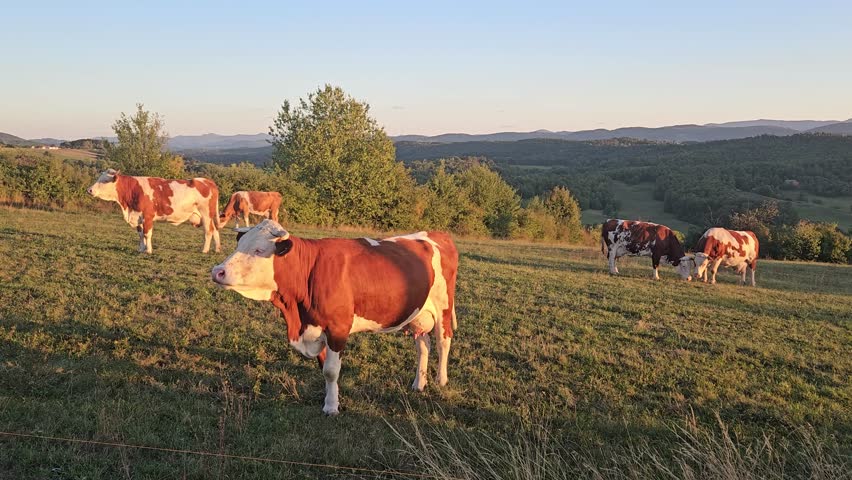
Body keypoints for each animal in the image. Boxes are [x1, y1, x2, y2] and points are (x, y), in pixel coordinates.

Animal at [87, 169, 221, 254]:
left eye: (105, 181)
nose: (89, 190)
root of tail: (208, 181)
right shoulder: (138, 216)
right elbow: (140, 234)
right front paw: (141, 249)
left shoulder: (148, 216)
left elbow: (147, 234)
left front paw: (149, 250)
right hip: (208, 216)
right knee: (214, 230)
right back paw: (217, 249)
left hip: (206, 214)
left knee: (208, 231)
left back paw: (204, 250)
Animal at [210, 220, 459, 415]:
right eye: (240, 245)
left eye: (259, 250)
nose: (217, 271)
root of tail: (437, 234)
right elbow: (325, 369)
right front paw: (330, 400)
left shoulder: (338, 329)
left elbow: (331, 370)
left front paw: (331, 407)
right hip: (418, 314)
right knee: (423, 345)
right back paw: (419, 383)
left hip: (443, 307)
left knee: (442, 342)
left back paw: (441, 380)